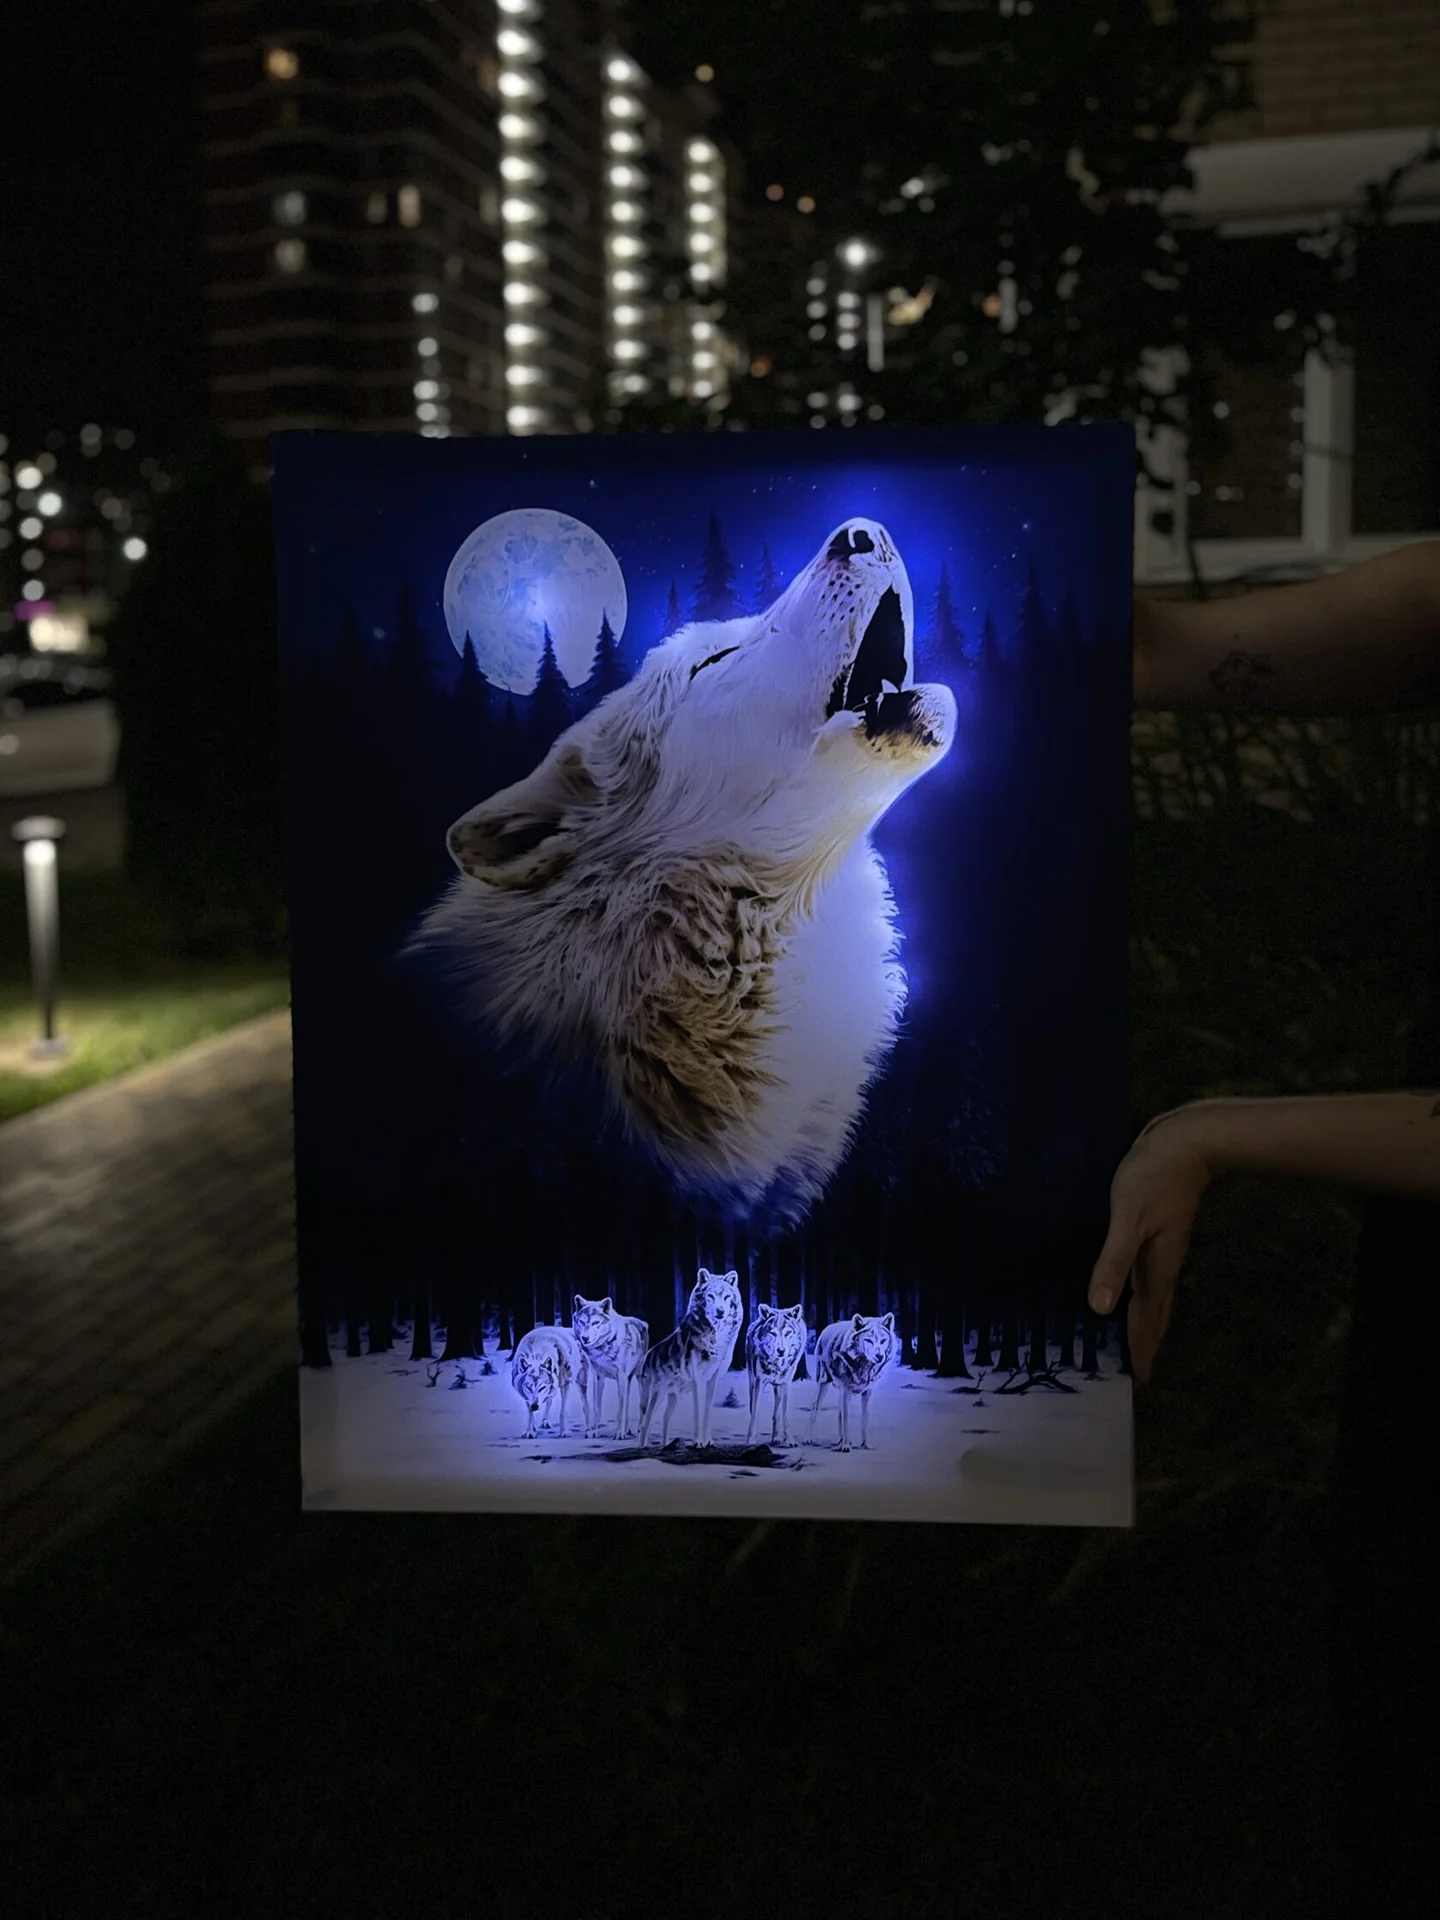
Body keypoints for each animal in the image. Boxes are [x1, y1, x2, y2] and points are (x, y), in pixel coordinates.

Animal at [571, 1294, 649, 1439]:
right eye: (582, 1322)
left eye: (595, 1323)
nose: (585, 1338)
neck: (603, 1348)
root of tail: (642, 1322)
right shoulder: (597, 1377)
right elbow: (597, 1408)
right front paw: (595, 1432)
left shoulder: (621, 1377)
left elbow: (620, 1409)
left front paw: (619, 1433)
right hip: (629, 1380)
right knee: (628, 1404)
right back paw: (627, 1429)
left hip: (638, 1377)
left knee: (641, 1404)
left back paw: (639, 1429)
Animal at [636, 1268, 743, 1449]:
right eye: (710, 1296)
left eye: (727, 1297)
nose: (720, 1311)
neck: (716, 1338)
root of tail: (647, 1355)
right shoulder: (697, 1379)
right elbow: (698, 1412)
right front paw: (698, 1442)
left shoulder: (712, 1379)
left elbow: (707, 1411)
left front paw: (709, 1442)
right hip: (656, 1395)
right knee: (645, 1422)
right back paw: (642, 1448)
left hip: (673, 1398)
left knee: (664, 1419)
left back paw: (665, 1446)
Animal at [744, 1302, 808, 1447]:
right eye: (772, 1333)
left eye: (788, 1333)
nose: (781, 1350)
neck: (776, 1366)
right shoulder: (758, 1383)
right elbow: (755, 1412)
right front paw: (751, 1439)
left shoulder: (785, 1383)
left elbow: (783, 1413)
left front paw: (789, 1440)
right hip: (752, 1381)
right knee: (753, 1408)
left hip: (778, 1387)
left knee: (776, 1413)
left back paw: (777, 1437)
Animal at [808, 1312, 897, 1453]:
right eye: (868, 1340)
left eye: (883, 1341)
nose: (879, 1356)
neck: (864, 1367)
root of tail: (827, 1328)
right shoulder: (846, 1391)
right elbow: (846, 1420)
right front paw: (845, 1446)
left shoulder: (867, 1392)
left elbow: (864, 1419)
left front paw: (865, 1444)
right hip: (823, 1384)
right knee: (814, 1406)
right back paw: (810, 1439)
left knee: (839, 1412)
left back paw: (840, 1441)